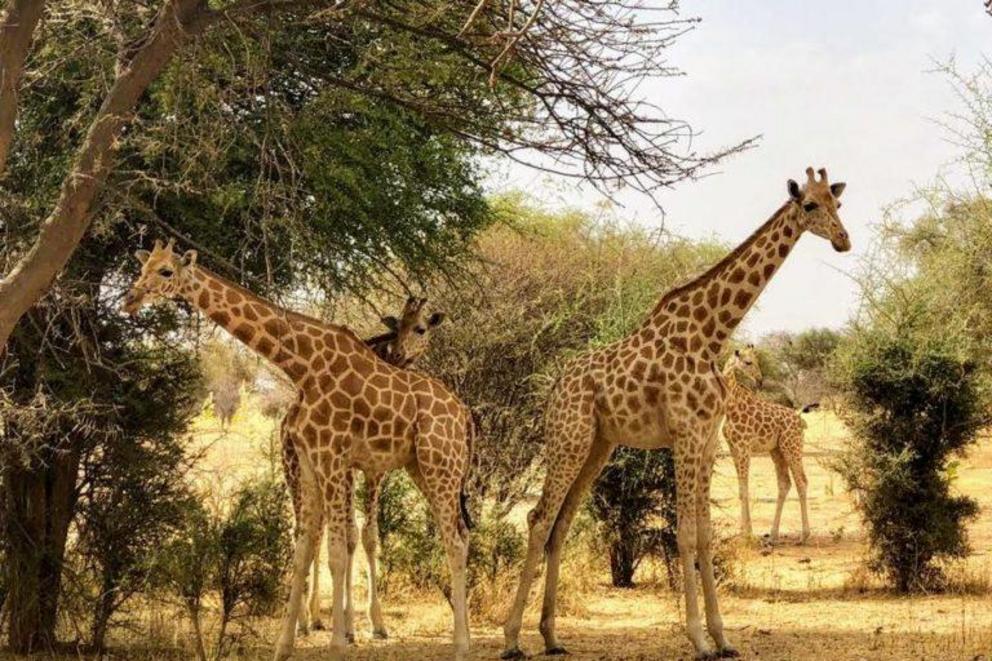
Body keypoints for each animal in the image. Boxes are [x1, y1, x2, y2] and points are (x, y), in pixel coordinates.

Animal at [288, 296, 448, 636]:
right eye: (397, 326)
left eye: (420, 327)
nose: (399, 353)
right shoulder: (349, 468)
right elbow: (350, 536)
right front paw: (349, 624)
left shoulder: (376, 470)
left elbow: (369, 537)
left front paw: (376, 623)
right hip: (294, 471)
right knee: (307, 533)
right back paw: (304, 620)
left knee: (317, 533)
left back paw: (315, 617)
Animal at [720, 346, 812, 540]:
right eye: (748, 362)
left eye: (757, 361)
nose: (759, 380)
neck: (730, 407)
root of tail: (800, 420)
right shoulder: (733, 448)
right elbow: (741, 490)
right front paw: (742, 532)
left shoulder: (744, 447)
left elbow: (745, 488)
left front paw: (748, 533)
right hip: (777, 451)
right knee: (785, 483)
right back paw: (773, 534)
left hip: (792, 448)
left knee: (801, 482)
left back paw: (804, 535)